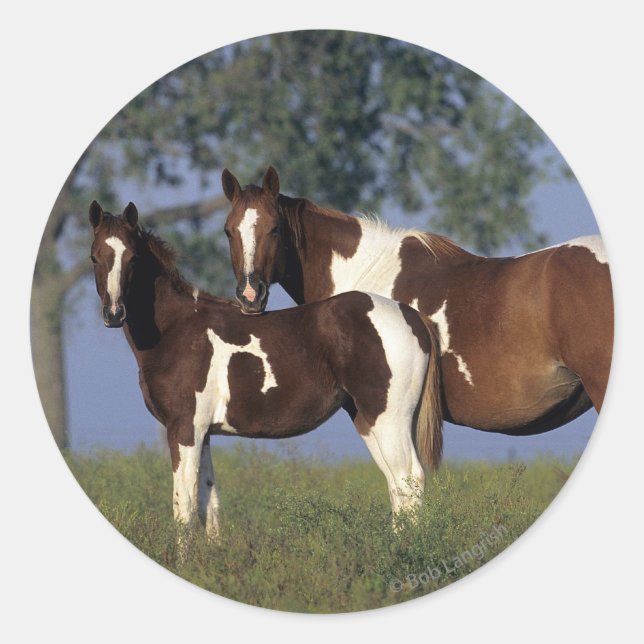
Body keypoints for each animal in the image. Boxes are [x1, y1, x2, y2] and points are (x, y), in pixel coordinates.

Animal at [88, 200, 443, 540]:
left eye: (133, 258)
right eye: (94, 257)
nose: (114, 313)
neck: (177, 328)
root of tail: (412, 316)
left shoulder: (184, 428)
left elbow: (184, 507)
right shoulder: (203, 433)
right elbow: (208, 505)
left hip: (389, 418)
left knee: (409, 478)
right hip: (369, 420)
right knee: (396, 485)